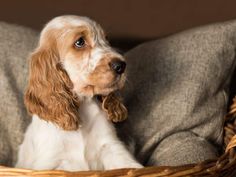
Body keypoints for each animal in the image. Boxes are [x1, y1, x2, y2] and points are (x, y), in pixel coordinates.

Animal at [16, 15, 143, 171]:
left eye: (107, 40)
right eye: (80, 42)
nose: (121, 66)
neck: (82, 105)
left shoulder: (110, 145)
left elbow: (129, 164)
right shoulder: (51, 162)